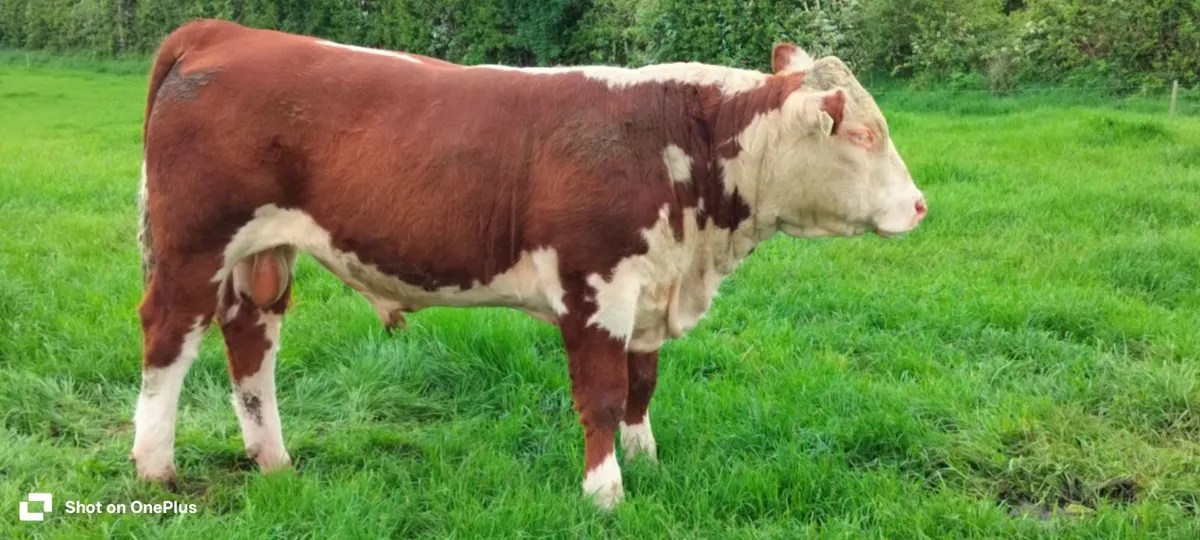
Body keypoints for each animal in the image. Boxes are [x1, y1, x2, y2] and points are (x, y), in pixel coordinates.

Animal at [131, 19, 927, 509]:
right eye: (862, 134)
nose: (920, 207)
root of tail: (223, 32)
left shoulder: (649, 287)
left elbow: (642, 385)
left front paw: (646, 460)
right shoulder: (595, 287)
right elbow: (602, 394)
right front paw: (605, 492)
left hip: (261, 254)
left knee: (250, 342)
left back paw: (273, 460)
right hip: (192, 246)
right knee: (169, 340)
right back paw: (155, 465)